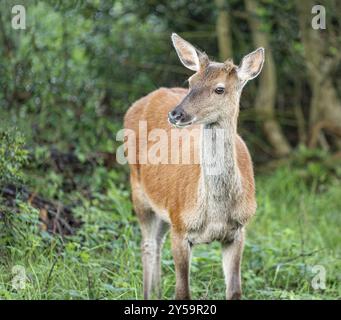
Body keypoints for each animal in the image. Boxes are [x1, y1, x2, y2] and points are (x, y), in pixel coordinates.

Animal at [123, 33, 264, 300]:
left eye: (219, 89)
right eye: (191, 81)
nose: (176, 114)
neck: (216, 214)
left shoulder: (238, 231)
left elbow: (235, 291)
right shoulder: (180, 226)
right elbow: (183, 293)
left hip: (163, 211)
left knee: (156, 244)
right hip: (138, 190)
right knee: (147, 245)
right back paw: (148, 293)